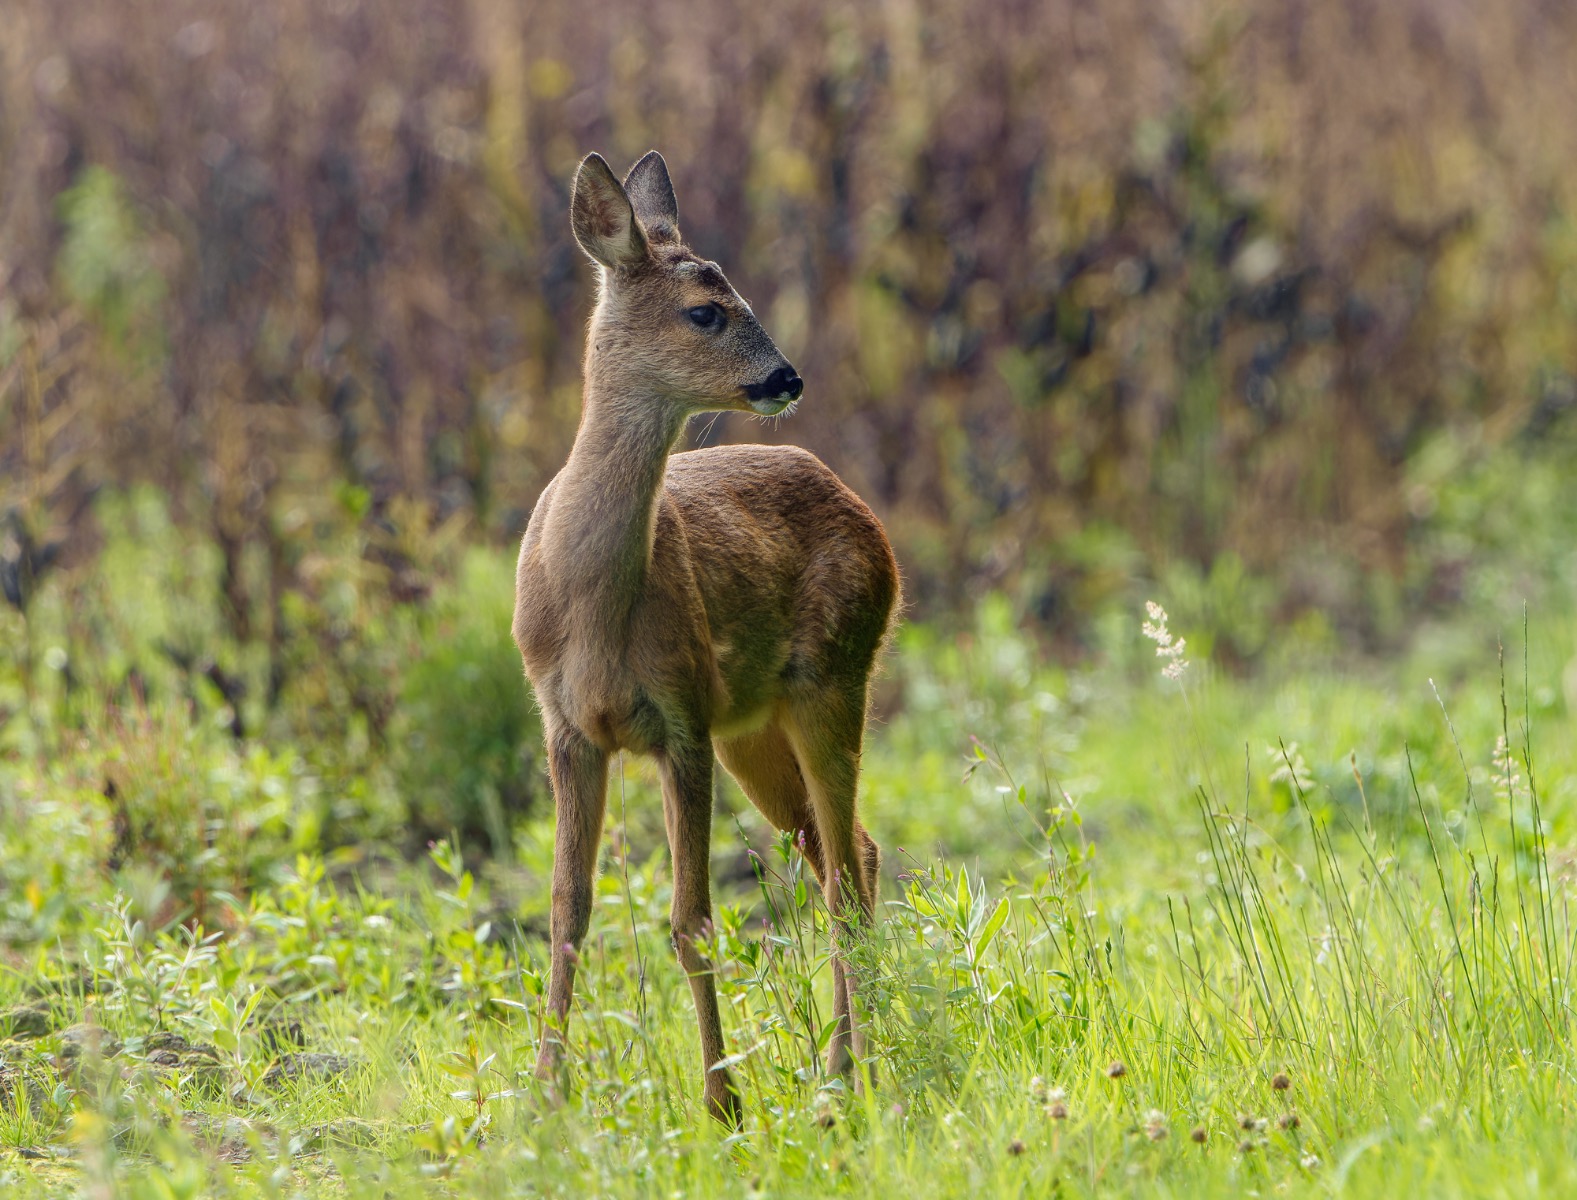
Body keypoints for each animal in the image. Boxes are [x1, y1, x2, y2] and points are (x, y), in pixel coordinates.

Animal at [512, 150, 898, 1124]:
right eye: (704, 310)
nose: (786, 378)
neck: (591, 603)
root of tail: (867, 516)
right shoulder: (567, 728)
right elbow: (566, 913)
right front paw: (543, 1097)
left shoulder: (680, 716)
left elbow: (691, 921)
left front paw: (722, 1103)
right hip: (753, 730)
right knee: (849, 853)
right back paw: (854, 1059)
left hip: (834, 678)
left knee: (843, 875)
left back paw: (845, 1073)